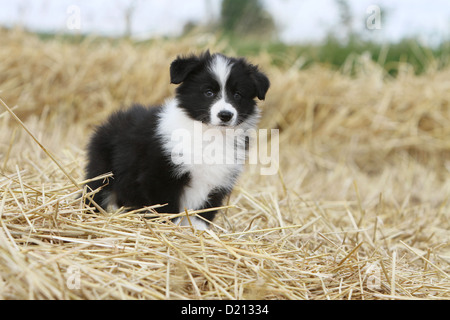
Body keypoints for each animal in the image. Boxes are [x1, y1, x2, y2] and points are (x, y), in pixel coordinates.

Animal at [83, 50, 268, 229]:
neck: (209, 134)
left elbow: (203, 214)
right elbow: (167, 209)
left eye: (237, 95)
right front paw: (169, 229)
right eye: (208, 92)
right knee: (93, 193)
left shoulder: (218, 182)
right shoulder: (160, 176)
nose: (225, 115)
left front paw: (198, 233)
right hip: (103, 172)